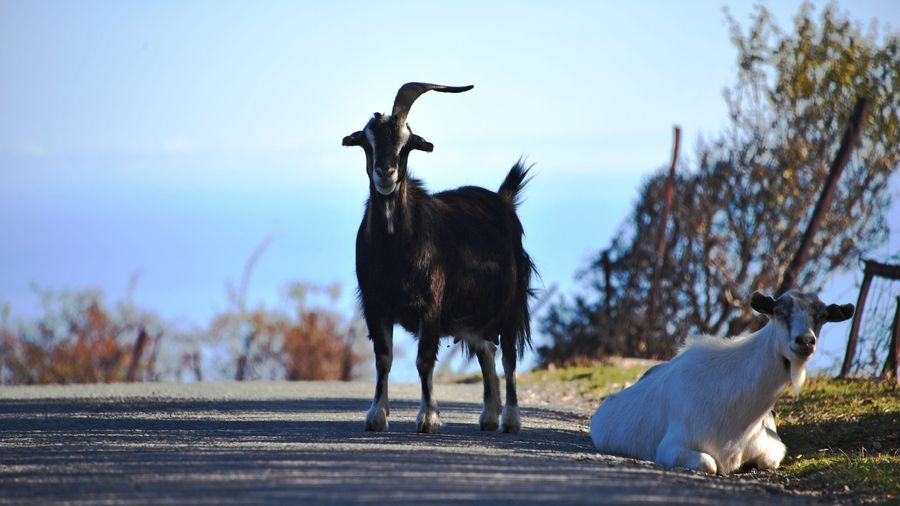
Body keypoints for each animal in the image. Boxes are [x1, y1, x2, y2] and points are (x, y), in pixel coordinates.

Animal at [342, 82, 535, 434]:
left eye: (407, 143)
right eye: (366, 141)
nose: (385, 174)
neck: (395, 249)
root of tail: (503, 199)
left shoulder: (431, 305)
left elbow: (423, 360)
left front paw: (429, 418)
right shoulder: (375, 305)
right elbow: (383, 358)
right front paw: (376, 414)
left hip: (511, 304)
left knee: (508, 355)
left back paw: (511, 419)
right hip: (473, 312)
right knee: (486, 350)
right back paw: (489, 415)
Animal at [589, 290, 854, 474]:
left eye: (822, 317)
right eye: (779, 312)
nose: (805, 341)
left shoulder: (772, 443)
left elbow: (767, 461)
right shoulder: (671, 447)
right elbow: (709, 464)